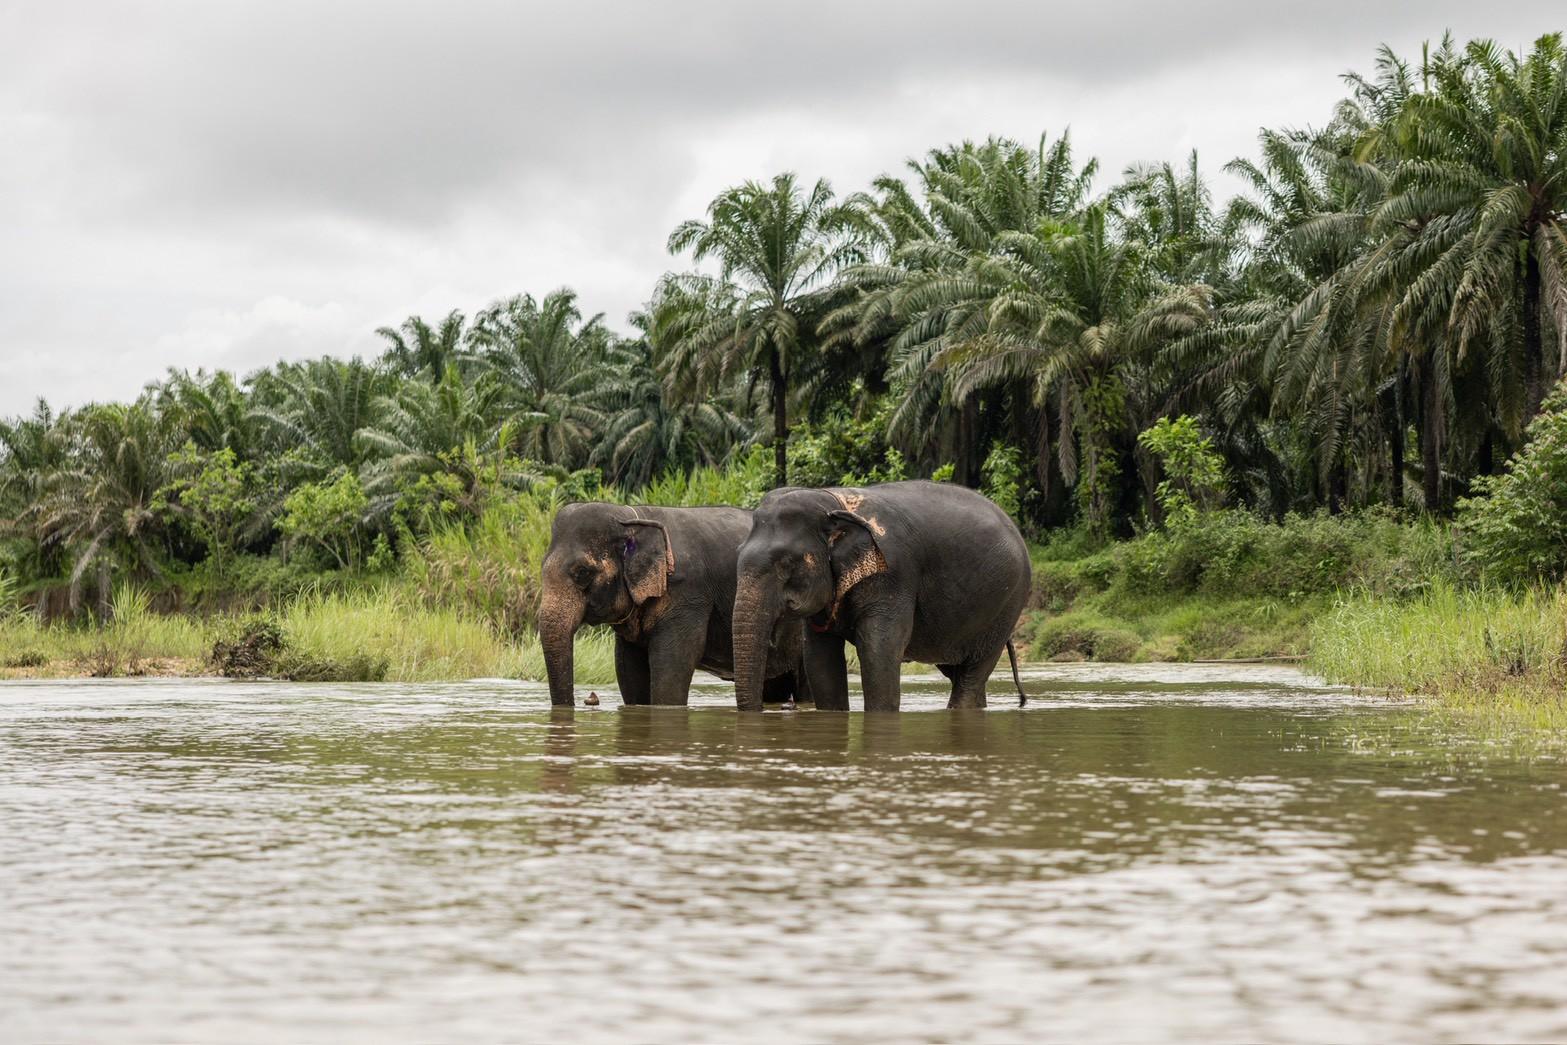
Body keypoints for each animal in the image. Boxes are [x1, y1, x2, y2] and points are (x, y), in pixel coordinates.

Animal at [538, 502, 809, 707]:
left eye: (582, 572)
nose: (588, 701)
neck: (634, 517)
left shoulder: (687, 594)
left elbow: (676, 659)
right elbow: (628, 667)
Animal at [732, 480, 1032, 712]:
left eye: (786, 564)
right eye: (738, 553)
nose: (782, 707)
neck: (832, 500)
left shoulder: (892, 575)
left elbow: (879, 649)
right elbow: (820, 657)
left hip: (1006, 606)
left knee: (974, 671)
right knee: (958, 672)